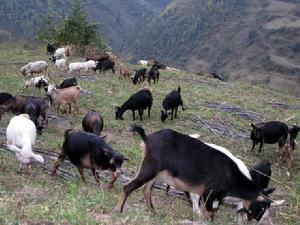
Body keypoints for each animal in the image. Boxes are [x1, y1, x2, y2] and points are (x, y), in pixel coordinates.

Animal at [119, 125, 272, 222]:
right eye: (260, 208)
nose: (254, 220)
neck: (231, 176)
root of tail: (146, 138)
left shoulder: (213, 197)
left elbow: (210, 213)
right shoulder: (208, 193)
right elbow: (208, 214)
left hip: (155, 173)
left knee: (146, 189)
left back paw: (153, 212)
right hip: (149, 169)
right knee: (128, 187)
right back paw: (119, 211)